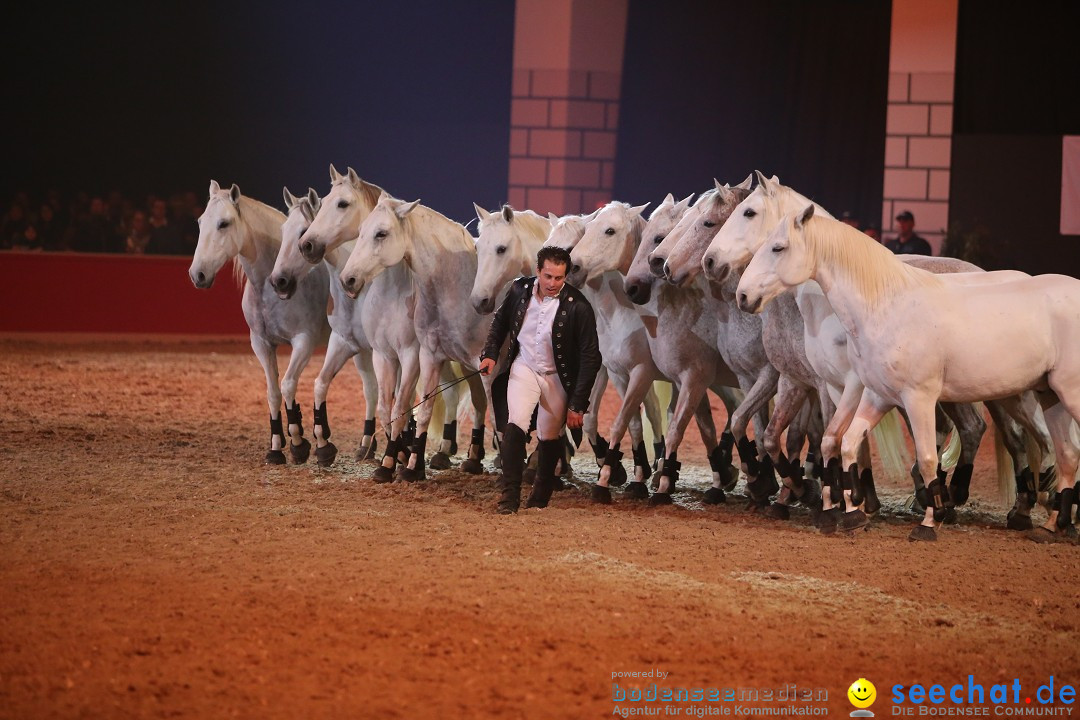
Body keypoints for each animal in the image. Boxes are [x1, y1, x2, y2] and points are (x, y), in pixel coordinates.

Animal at [187, 183, 328, 464]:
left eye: (224, 223)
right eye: (200, 222)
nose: (198, 274)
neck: (269, 287)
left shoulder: (304, 342)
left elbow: (287, 385)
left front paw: (298, 443)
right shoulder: (261, 344)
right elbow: (273, 392)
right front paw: (276, 446)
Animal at [339, 194, 492, 481]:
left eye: (382, 233)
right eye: (361, 231)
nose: (348, 279)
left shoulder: (411, 356)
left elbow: (401, 407)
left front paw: (394, 461)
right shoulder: (387, 356)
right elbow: (391, 408)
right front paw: (399, 460)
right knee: (479, 401)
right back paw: (471, 458)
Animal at [574, 194, 751, 505]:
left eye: (610, 231)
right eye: (588, 229)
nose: (573, 266)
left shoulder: (647, 373)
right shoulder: (620, 374)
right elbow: (632, 422)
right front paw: (635, 476)